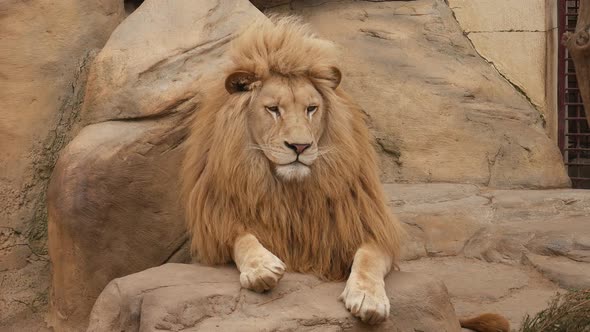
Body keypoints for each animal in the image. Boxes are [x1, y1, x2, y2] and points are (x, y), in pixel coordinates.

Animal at [184, 14, 508, 330]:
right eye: (273, 109)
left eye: (311, 108)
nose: (300, 146)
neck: (291, 190)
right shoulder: (218, 226)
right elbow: (242, 239)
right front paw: (262, 268)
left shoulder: (367, 226)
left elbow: (368, 257)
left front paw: (368, 299)